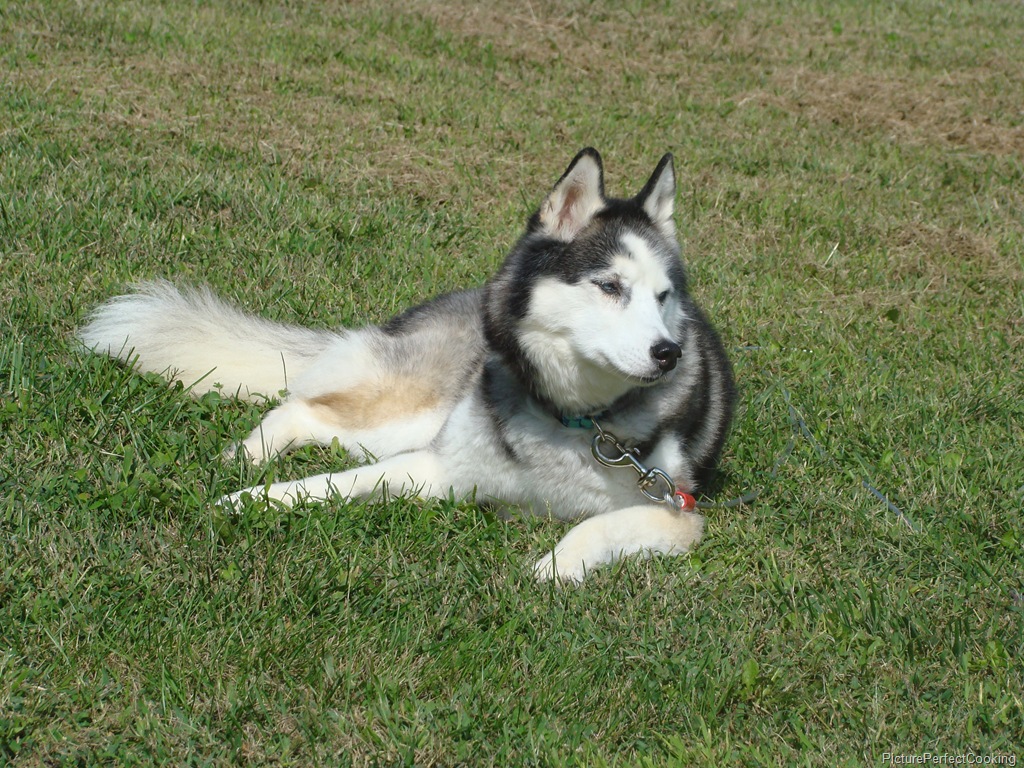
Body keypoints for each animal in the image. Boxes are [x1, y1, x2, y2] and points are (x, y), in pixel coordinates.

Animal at [79, 148, 736, 583]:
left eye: (664, 296)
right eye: (609, 286)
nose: (669, 353)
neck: (572, 418)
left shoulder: (677, 514)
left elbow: (597, 526)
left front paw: (552, 568)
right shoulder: (440, 464)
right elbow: (334, 483)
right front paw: (252, 499)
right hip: (408, 415)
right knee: (299, 406)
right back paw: (247, 458)